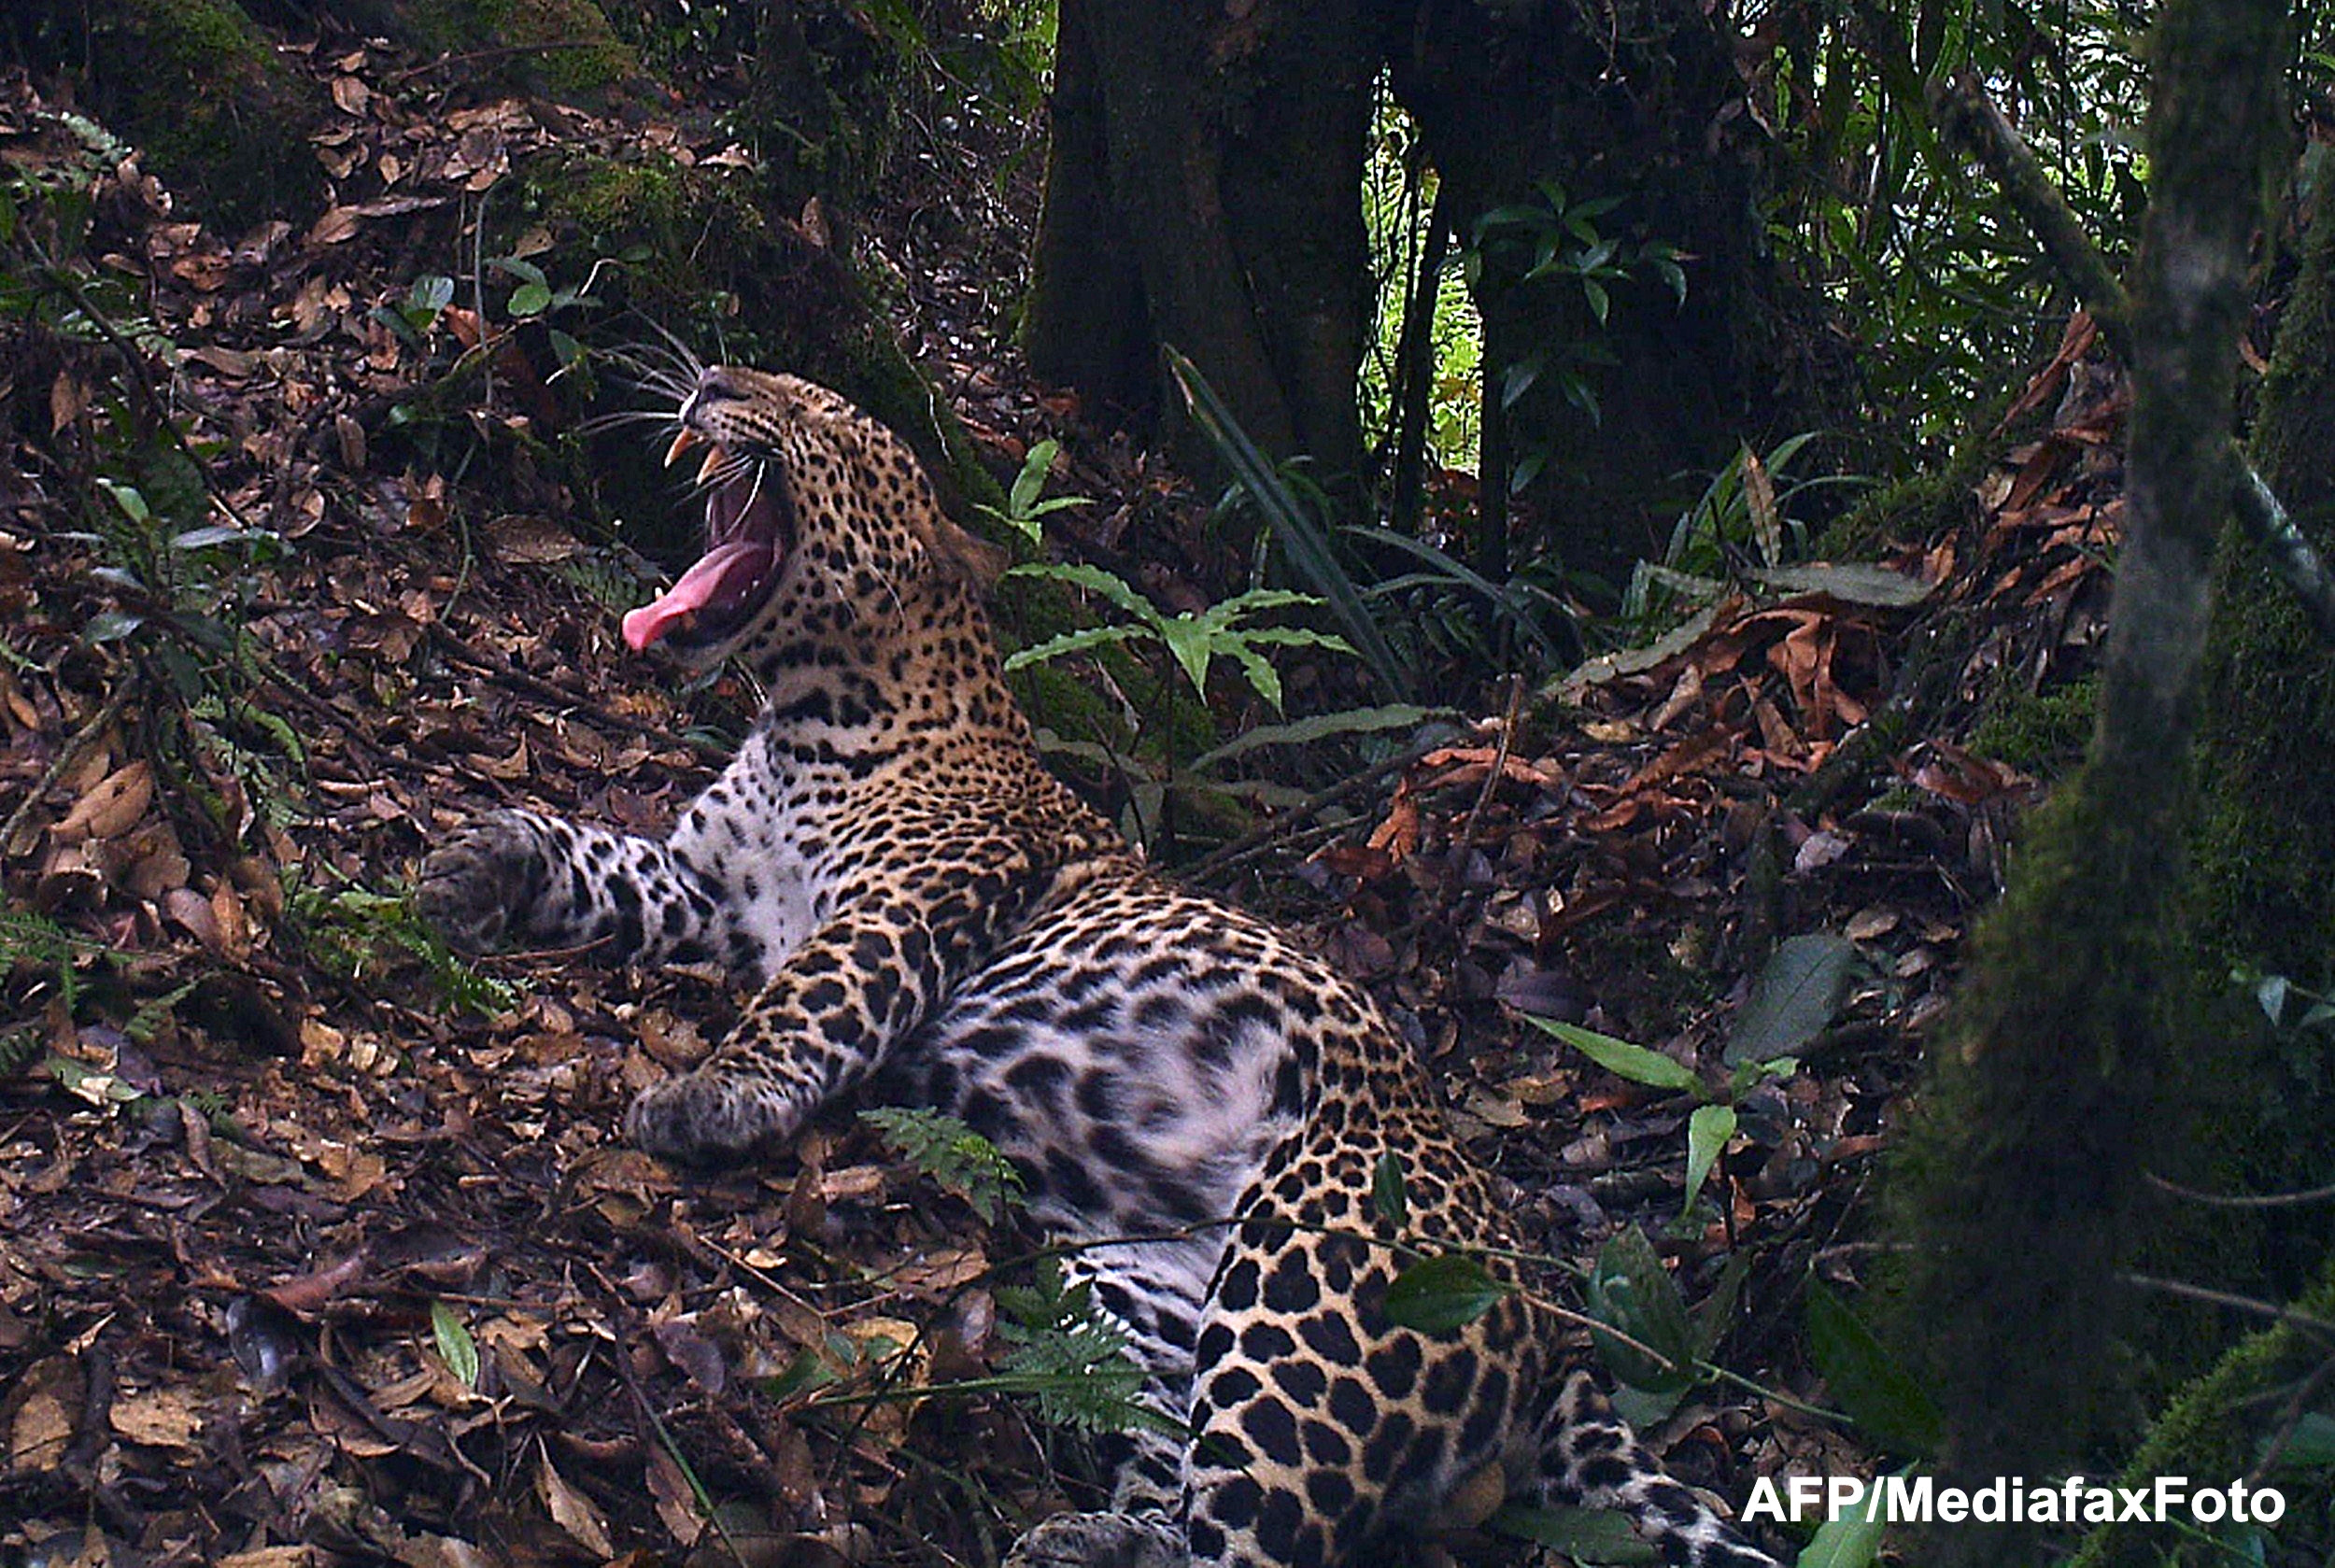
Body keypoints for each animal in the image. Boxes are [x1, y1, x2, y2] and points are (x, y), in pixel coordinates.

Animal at [416, 364, 1780, 1568]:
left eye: (813, 410)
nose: (707, 385)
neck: (806, 711)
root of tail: (1549, 1317)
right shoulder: (708, 892)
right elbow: (591, 850)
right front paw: (475, 866)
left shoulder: (909, 903)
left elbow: (807, 1003)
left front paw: (706, 1096)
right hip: (1137, 1283)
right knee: (1179, 1463)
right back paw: (1098, 1532)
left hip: (1327, 1277)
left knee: (1268, 1535)